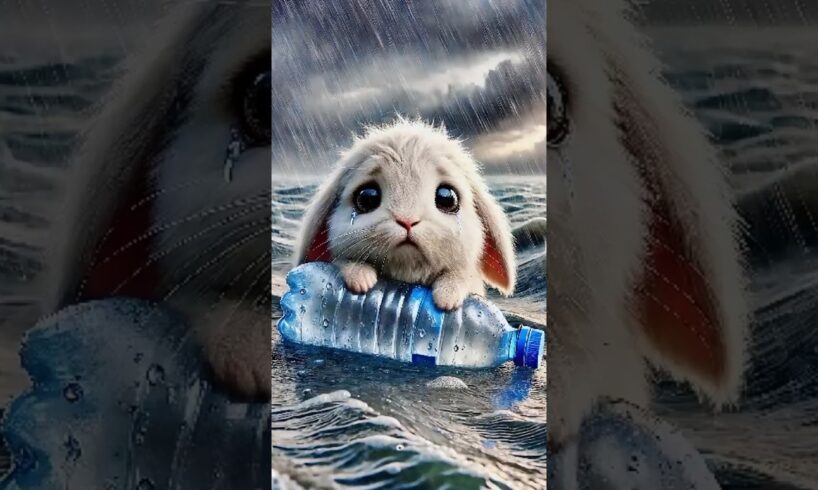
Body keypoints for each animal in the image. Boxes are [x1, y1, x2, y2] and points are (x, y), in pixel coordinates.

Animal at [294, 118, 517, 311]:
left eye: (447, 198)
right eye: (367, 197)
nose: (407, 221)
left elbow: (460, 275)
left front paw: (447, 297)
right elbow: (344, 262)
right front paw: (361, 279)